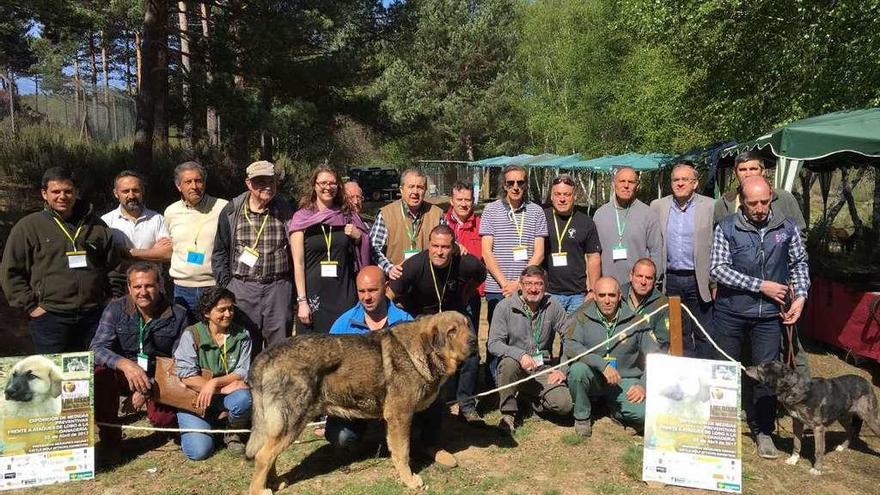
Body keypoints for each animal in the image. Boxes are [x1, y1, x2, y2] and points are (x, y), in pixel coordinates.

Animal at [244, 312, 470, 494]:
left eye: (468, 325)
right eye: (452, 331)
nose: (473, 341)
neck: (422, 351)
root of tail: (266, 354)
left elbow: (398, 450)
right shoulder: (401, 415)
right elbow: (403, 452)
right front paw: (409, 480)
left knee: (268, 454)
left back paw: (274, 482)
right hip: (292, 422)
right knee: (263, 456)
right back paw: (260, 490)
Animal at [744, 362, 880, 474]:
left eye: (760, 368)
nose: (747, 368)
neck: (793, 388)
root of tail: (867, 382)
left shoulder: (818, 428)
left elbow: (818, 451)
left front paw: (817, 469)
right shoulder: (797, 423)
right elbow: (796, 444)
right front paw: (794, 459)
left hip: (870, 420)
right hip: (842, 417)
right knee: (851, 430)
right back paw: (842, 447)